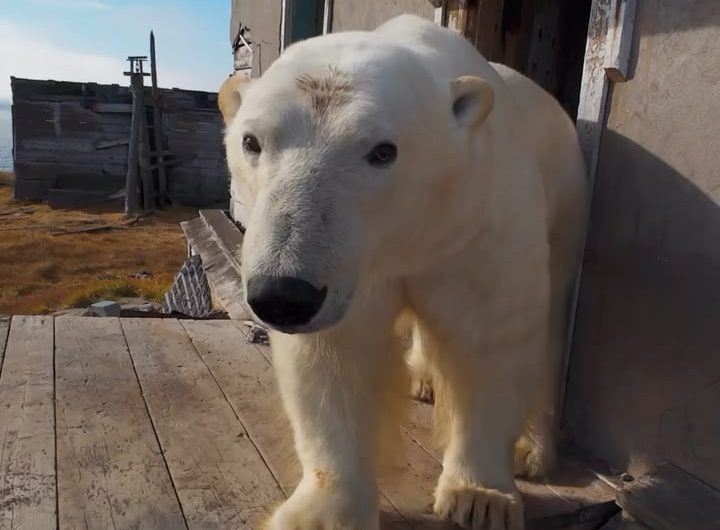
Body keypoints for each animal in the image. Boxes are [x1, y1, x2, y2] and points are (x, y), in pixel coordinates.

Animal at [218, 13, 587, 530]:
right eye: (251, 141)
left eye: (382, 151)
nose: (283, 295)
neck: (406, 232)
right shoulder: (353, 269)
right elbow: (335, 355)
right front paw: (322, 512)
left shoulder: (479, 223)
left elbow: (490, 342)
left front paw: (480, 497)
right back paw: (422, 378)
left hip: (567, 203)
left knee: (551, 326)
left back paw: (531, 449)